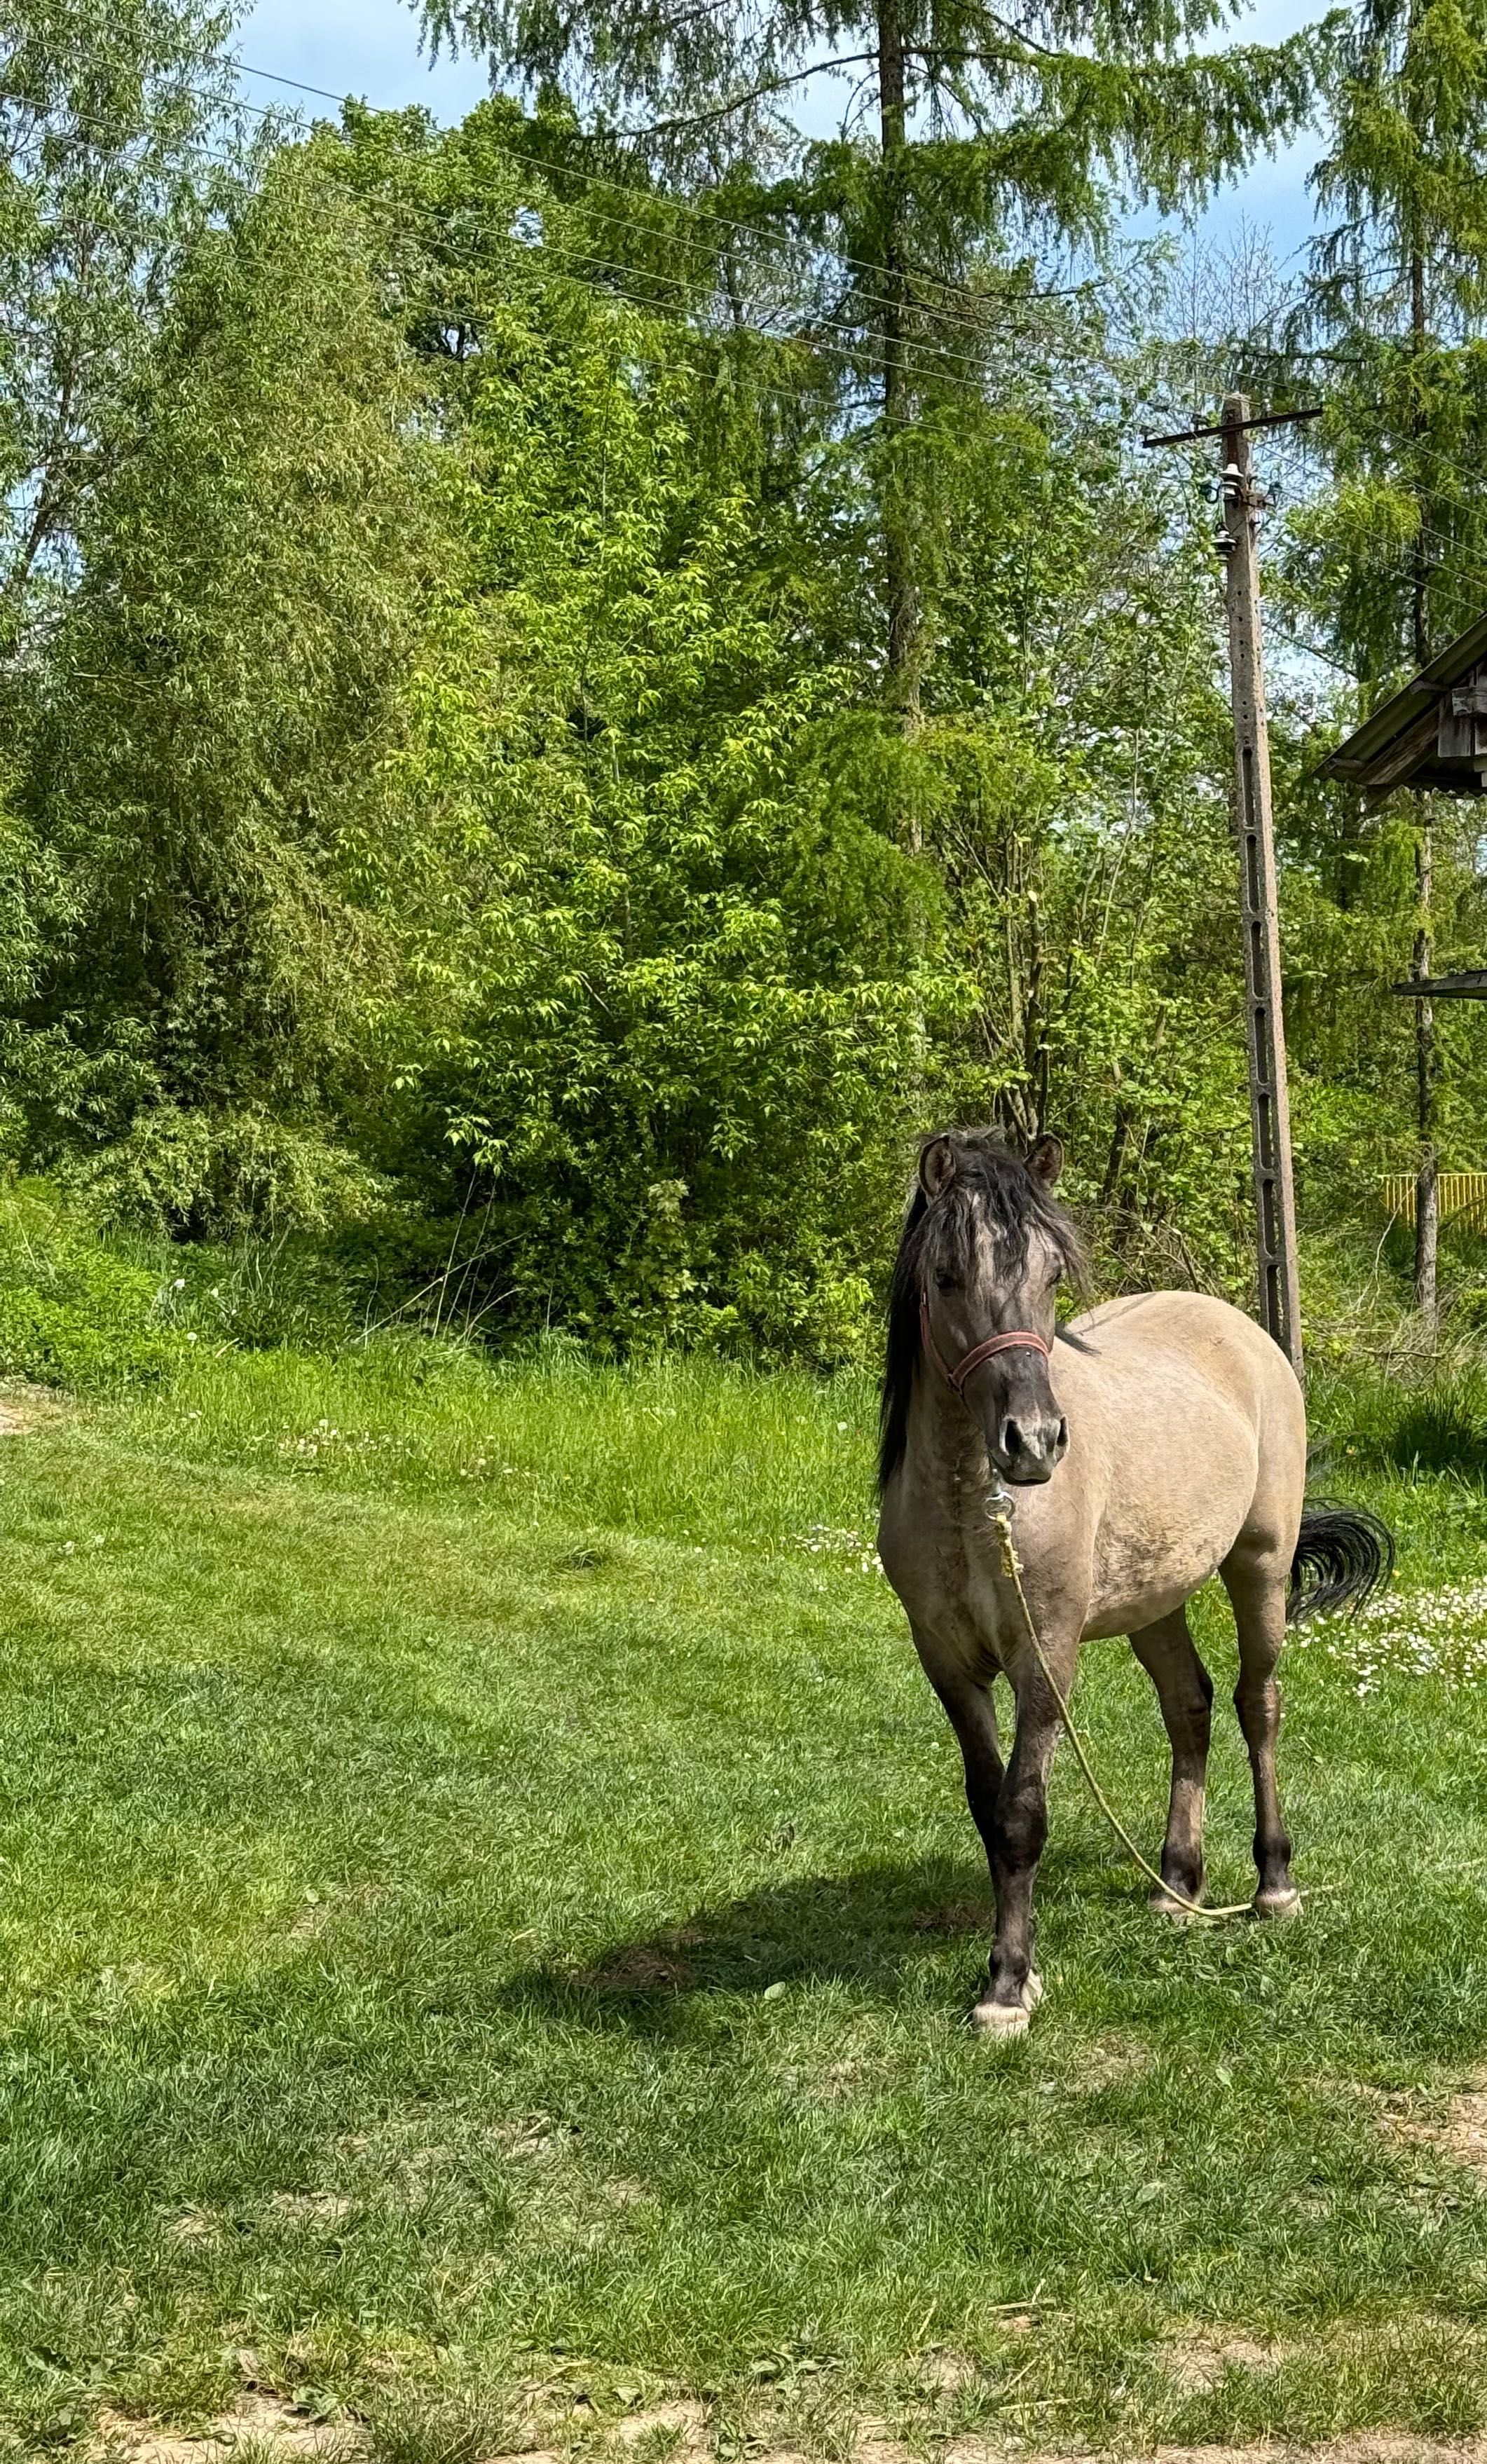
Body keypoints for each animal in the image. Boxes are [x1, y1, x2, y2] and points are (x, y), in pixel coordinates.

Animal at [876, 1128, 1388, 2040]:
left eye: (1051, 1274)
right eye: (946, 1276)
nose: (1034, 1442)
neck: (976, 1506)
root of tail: (1242, 1330)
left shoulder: (1044, 1655)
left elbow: (1021, 1814)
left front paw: (1006, 1987)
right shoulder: (945, 1662)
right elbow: (985, 1806)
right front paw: (1021, 1969)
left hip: (1259, 1567)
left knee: (1258, 1705)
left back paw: (1273, 1884)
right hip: (1157, 1600)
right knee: (1189, 1705)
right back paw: (1177, 1885)